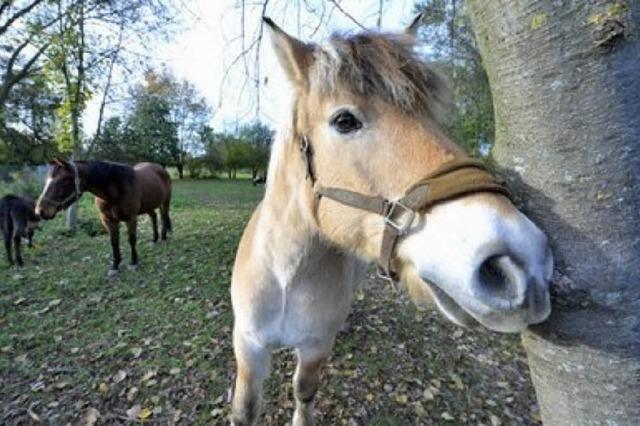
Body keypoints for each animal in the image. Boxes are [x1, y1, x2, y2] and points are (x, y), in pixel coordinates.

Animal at [36, 160, 171, 276]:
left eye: (60, 182)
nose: (40, 210)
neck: (116, 189)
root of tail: (160, 168)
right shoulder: (108, 220)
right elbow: (114, 242)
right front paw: (115, 266)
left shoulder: (131, 218)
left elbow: (131, 240)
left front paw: (133, 262)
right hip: (149, 205)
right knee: (154, 217)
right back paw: (154, 239)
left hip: (165, 201)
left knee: (164, 217)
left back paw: (164, 237)